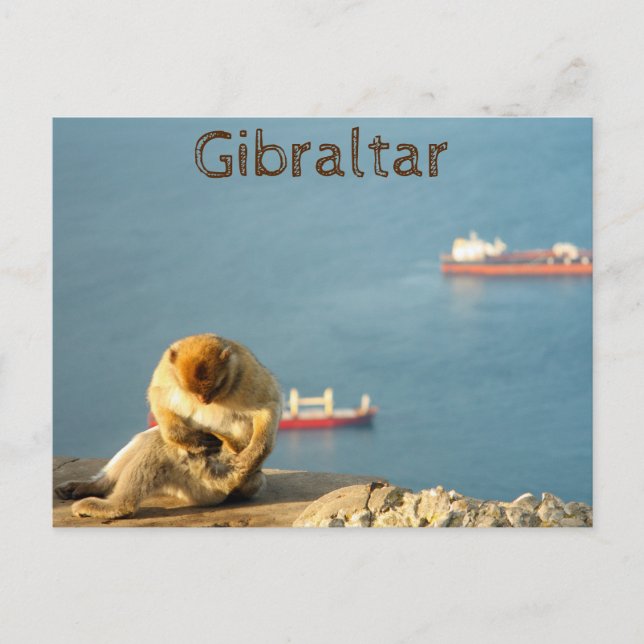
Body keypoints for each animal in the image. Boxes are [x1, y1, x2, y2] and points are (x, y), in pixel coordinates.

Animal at [55, 333, 282, 519]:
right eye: (193, 391)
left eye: (214, 388)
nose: (203, 400)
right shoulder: (165, 367)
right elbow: (158, 397)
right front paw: (189, 438)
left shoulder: (247, 374)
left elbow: (269, 405)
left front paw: (252, 454)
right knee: (152, 437)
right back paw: (93, 486)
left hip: (211, 477)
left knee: (158, 445)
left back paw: (118, 507)